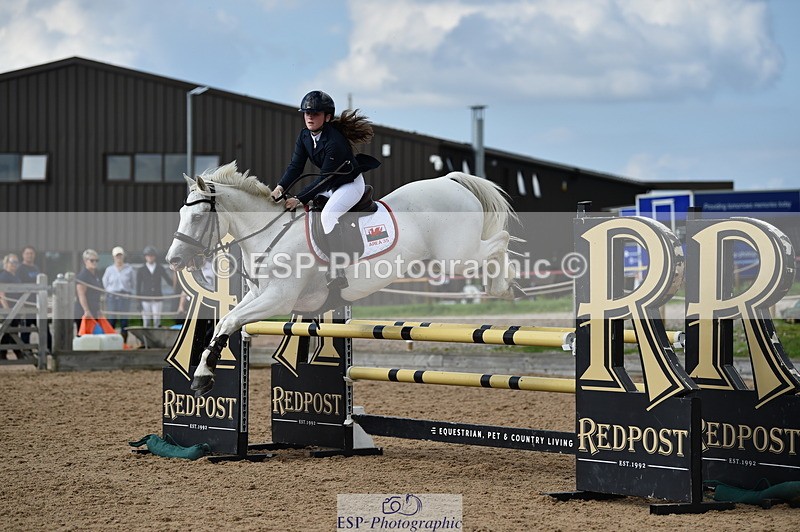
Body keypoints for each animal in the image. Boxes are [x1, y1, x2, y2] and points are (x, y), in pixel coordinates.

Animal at [166, 161, 520, 395]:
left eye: (197, 217)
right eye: (181, 214)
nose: (174, 260)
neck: (270, 232)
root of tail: (450, 181)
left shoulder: (278, 299)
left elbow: (228, 321)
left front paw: (202, 376)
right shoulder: (259, 295)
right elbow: (227, 322)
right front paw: (203, 373)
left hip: (456, 255)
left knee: (499, 241)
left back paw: (505, 286)